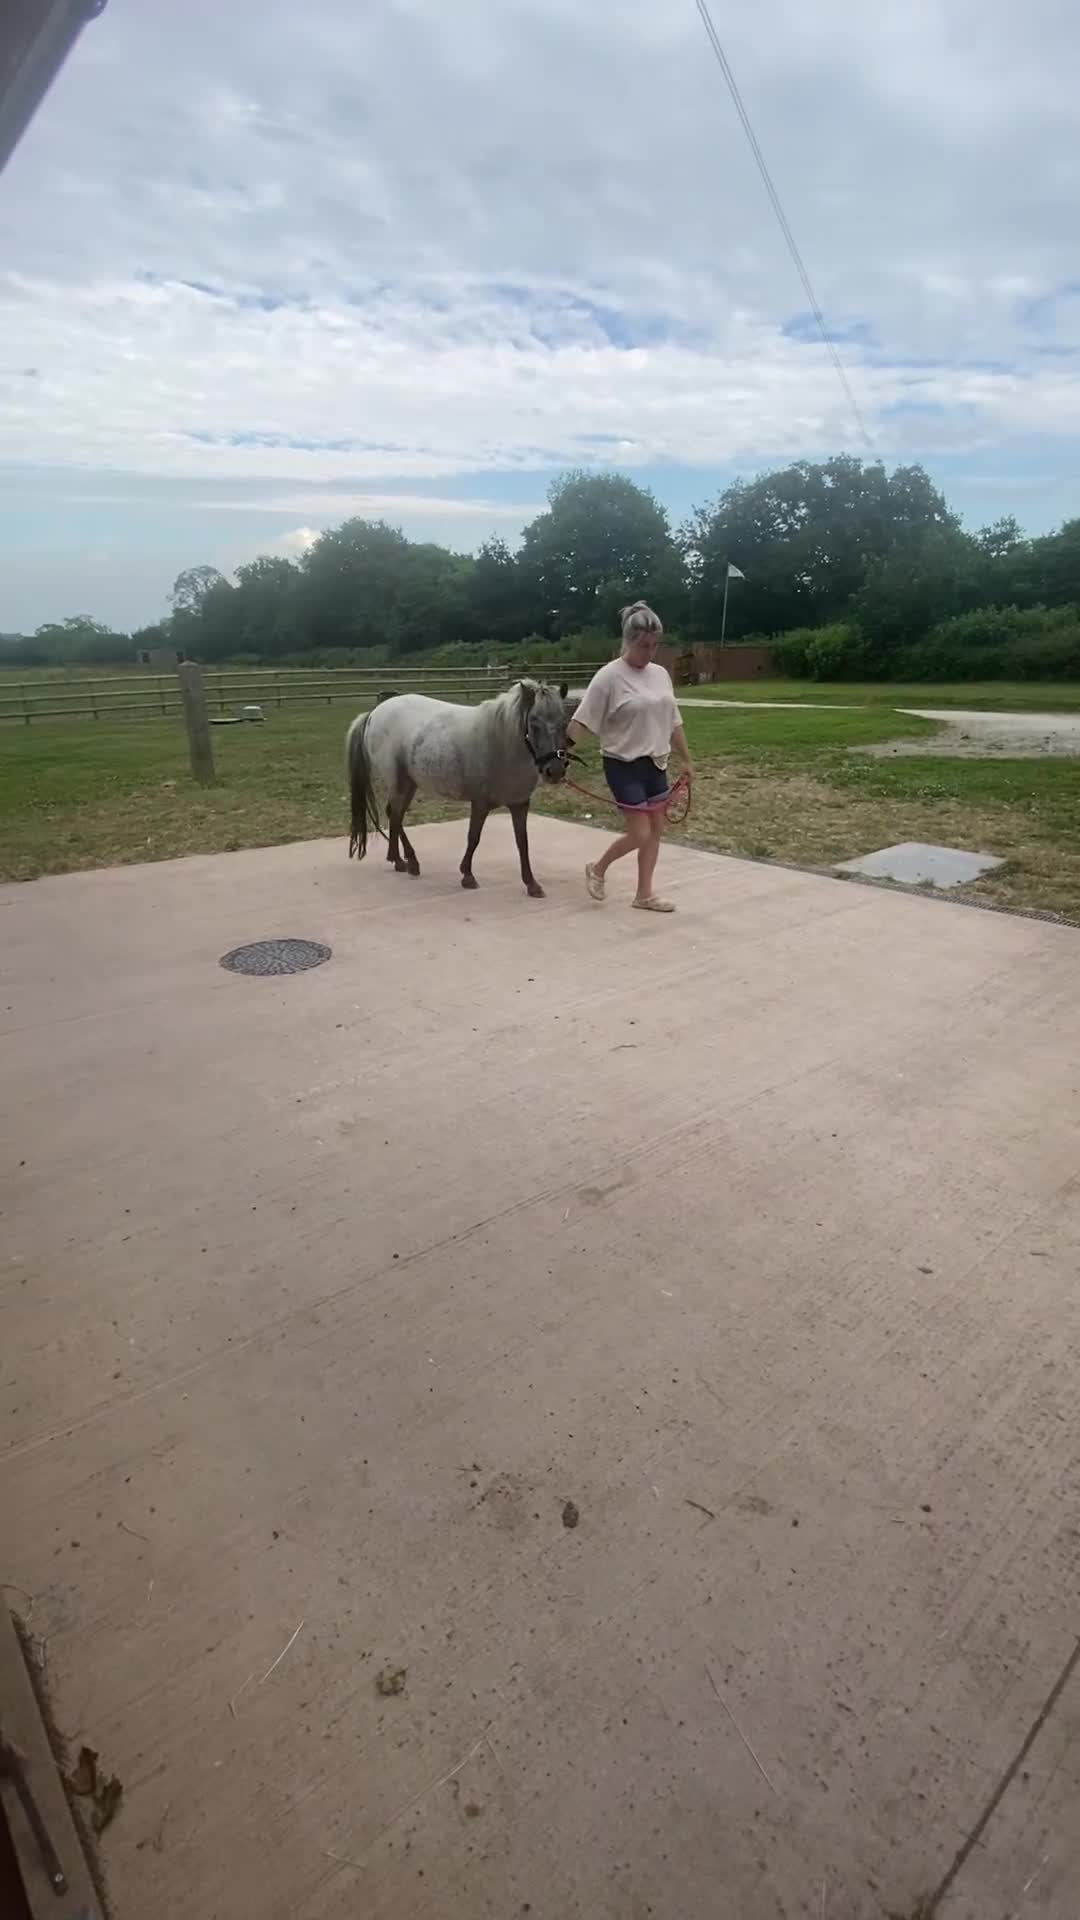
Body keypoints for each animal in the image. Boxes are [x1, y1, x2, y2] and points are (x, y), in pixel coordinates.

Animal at [346, 679, 571, 897]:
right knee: (395, 815)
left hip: (409, 783)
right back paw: (405, 861)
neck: (503, 743)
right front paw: (467, 876)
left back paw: (404, 861)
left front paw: (532, 884)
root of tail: (375, 713)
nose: (555, 771)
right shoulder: (480, 803)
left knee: (395, 815)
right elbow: (473, 838)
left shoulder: (520, 804)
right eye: (534, 723)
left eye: (563, 723)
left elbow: (522, 843)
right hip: (399, 782)